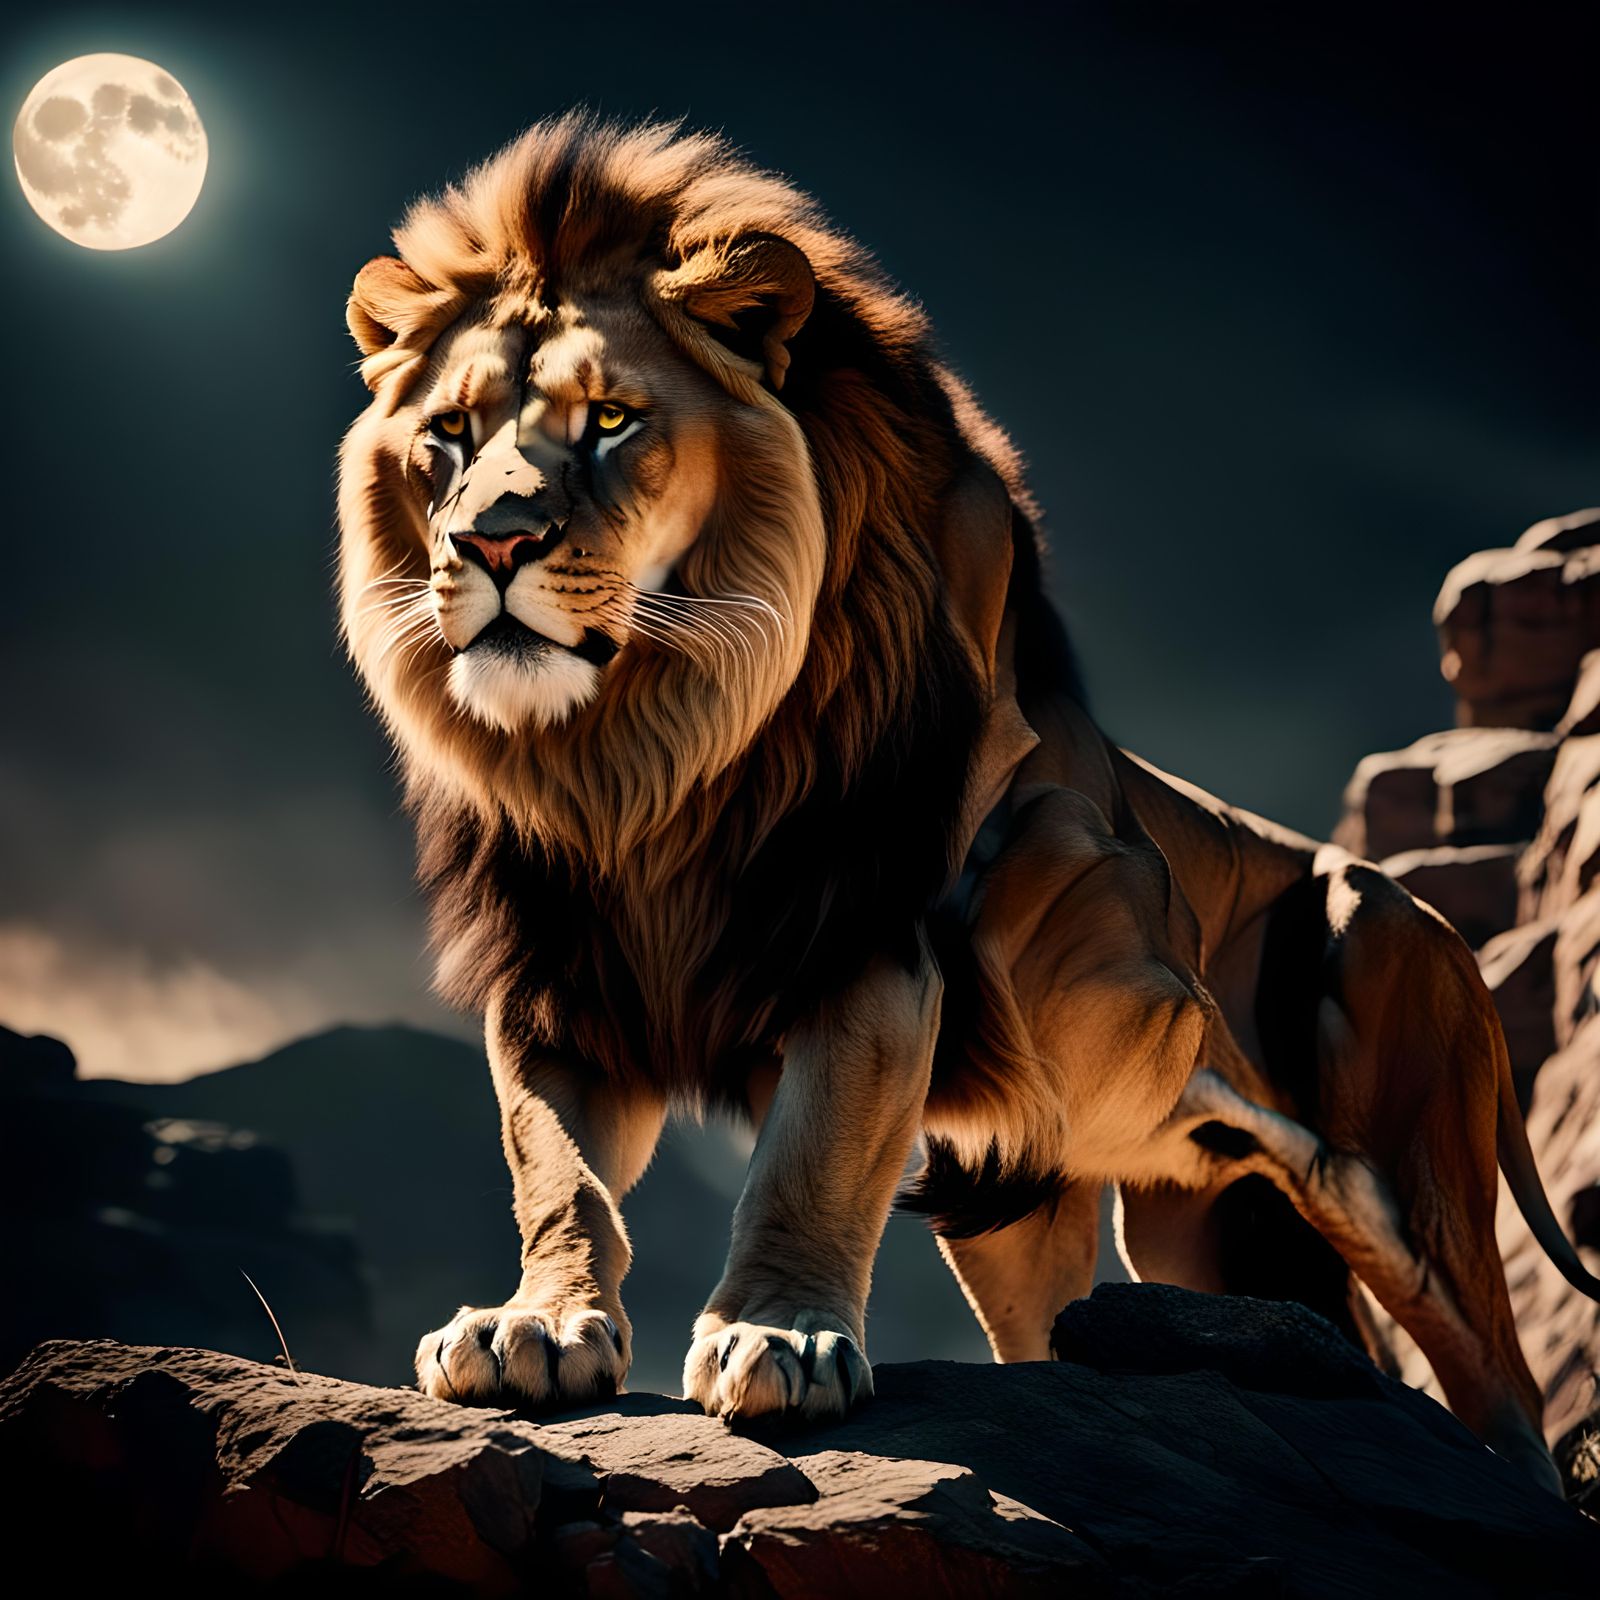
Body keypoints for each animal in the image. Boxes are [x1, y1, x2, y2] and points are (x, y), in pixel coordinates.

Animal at [337, 113, 1598, 1489]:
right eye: (449, 436)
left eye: (612, 419)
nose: (491, 542)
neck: (644, 757)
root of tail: (1434, 921)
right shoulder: (561, 976)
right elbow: (556, 1171)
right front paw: (536, 1325)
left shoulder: (870, 938)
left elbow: (812, 1149)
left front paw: (779, 1336)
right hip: (1159, 1219)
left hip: (1401, 1172)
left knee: (1508, 1403)